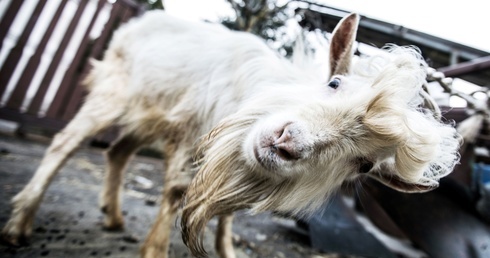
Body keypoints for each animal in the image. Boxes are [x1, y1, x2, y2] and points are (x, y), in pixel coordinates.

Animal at [0, 10, 460, 258]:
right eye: (333, 83)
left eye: (363, 165)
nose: (287, 142)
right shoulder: (193, 134)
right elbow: (175, 192)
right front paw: (156, 249)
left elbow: (228, 215)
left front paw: (226, 249)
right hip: (113, 95)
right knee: (65, 143)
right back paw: (20, 223)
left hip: (150, 114)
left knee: (117, 152)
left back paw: (112, 215)